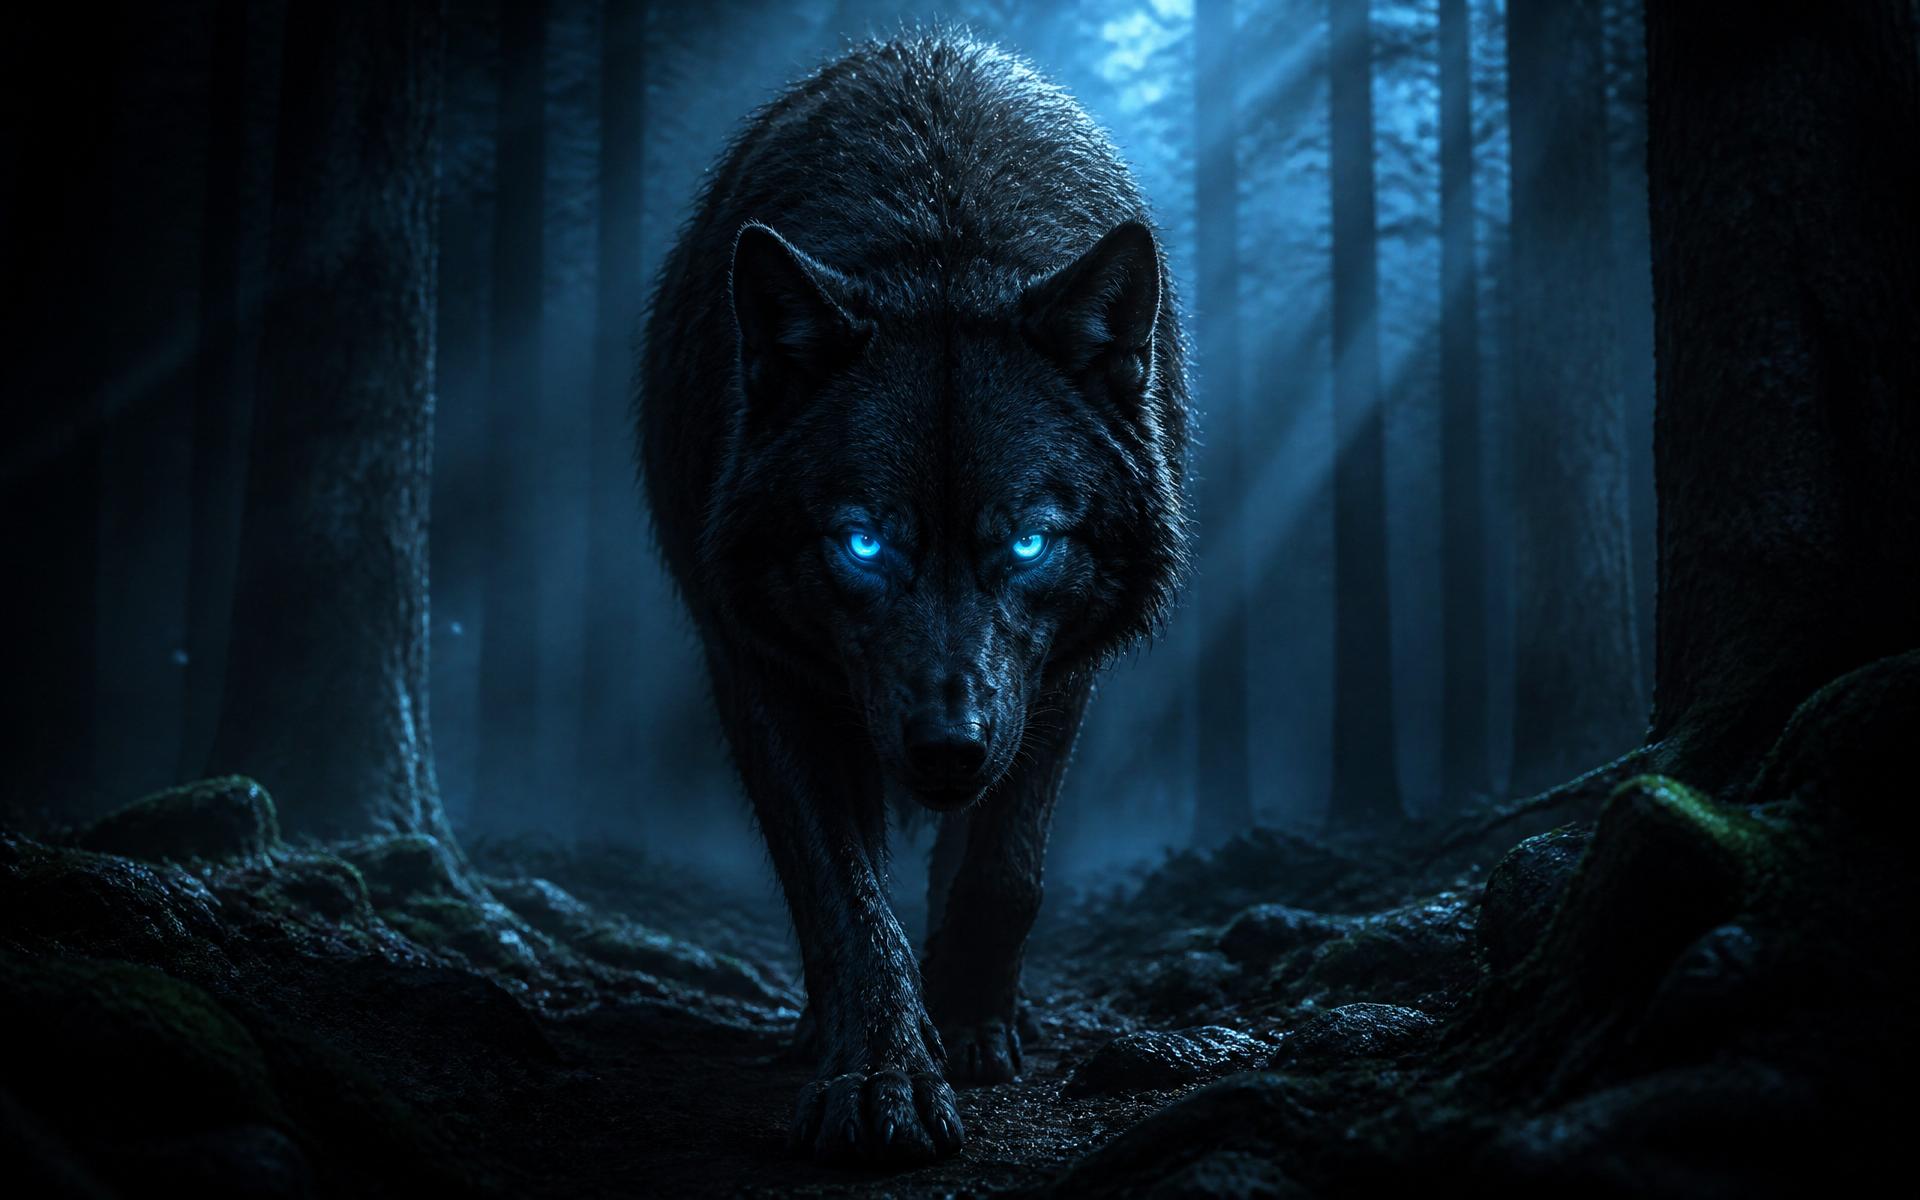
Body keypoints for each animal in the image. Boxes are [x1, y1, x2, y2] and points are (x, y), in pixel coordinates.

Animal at [638, 33, 1191, 1164]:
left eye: (1027, 541)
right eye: (863, 541)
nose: (946, 749)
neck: (939, 236)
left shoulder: (1057, 677)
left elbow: (1003, 875)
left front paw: (971, 1025)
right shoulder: (760, 669)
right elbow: (844, 902)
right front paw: (882, 1074)